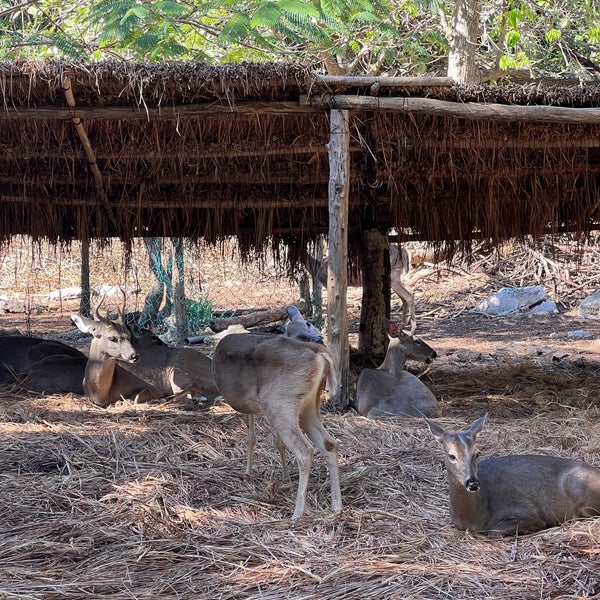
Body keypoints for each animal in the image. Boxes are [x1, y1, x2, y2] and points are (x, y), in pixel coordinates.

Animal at [211, 332, 342, 520]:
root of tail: (319, 353)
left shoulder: (249, 406)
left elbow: (251, 438)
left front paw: (248, 472)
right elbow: (275, 442)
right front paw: (284, 475)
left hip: (277, 403)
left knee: (305, 450)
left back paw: (297, 512)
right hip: (308, 405)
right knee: (329, 443)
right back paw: (337, 505)